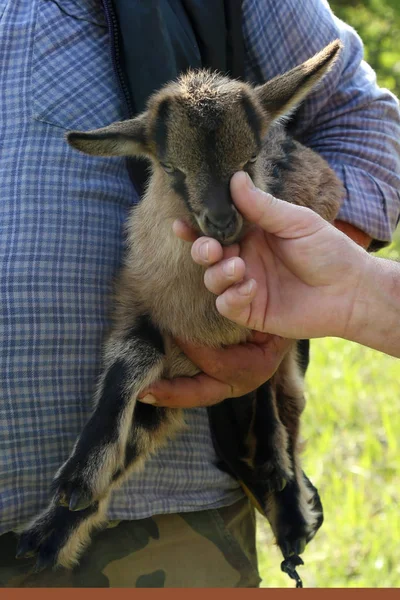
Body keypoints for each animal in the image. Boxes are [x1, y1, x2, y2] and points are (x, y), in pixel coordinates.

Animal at [17, 38, 344, 580]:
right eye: (171, 168)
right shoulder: (139, 313)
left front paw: (275, 463)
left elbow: (262, 385)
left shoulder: (262, 337)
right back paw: (44, 539)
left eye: (250, 159)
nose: (222, 221)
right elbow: (131, 366)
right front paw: (74, 488)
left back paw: (290, 509)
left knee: (287, 406)